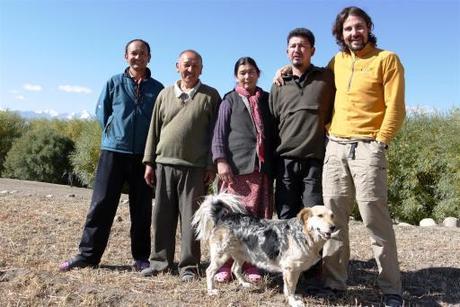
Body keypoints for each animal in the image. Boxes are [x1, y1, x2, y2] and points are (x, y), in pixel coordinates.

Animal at [192, 195, 336, 307]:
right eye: (320, 216)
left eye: (332, 216)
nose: (333, 227)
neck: (304, 234)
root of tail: (223, 217)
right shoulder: (290, 270)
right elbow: (290, 288)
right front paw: (293, 302)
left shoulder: (293, 271)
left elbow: (291, 288)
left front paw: (293, 298)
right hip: (221, 255)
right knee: (210, 271)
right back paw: (212, 290)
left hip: (241, 254)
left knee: (235, 269)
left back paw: (245, 284)